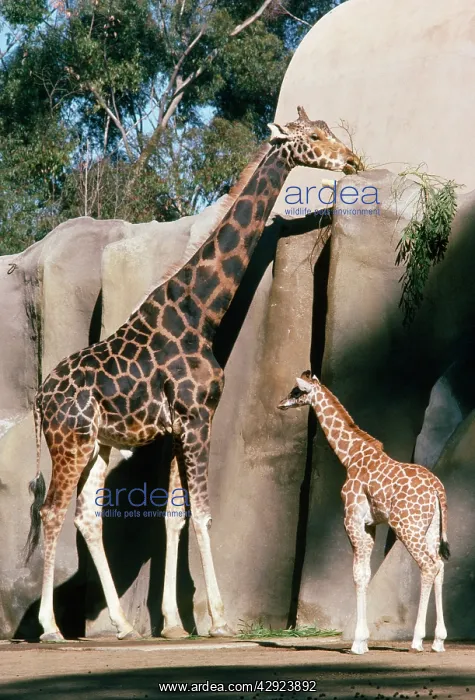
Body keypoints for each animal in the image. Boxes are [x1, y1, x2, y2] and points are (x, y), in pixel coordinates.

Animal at [25, 107, 361, 642]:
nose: (351, 161)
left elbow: (173, 517)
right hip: (69, 440)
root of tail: (40, 397)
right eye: (313, 135)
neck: (200, 311)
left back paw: (123, 625)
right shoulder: (198, 417)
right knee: (52, 511)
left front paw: (171, 623)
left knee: (87, 516)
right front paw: (218, 620)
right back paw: (51, 628)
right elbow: (202, 513)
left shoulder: (176, 427)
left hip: (98, 444)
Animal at [278, 371, 450, 655]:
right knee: (441, 567)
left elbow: (358, 575)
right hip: (432, 529)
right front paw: (364, 640)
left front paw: (358, 643)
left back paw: (416, 641)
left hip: (407, 526)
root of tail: (438, 489)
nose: (280, 403)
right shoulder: (370, 524)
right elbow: (366, 573)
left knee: (429, 565)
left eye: (296, 391)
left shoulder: (352, 519)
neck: (349, 457)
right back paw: (438, 641)